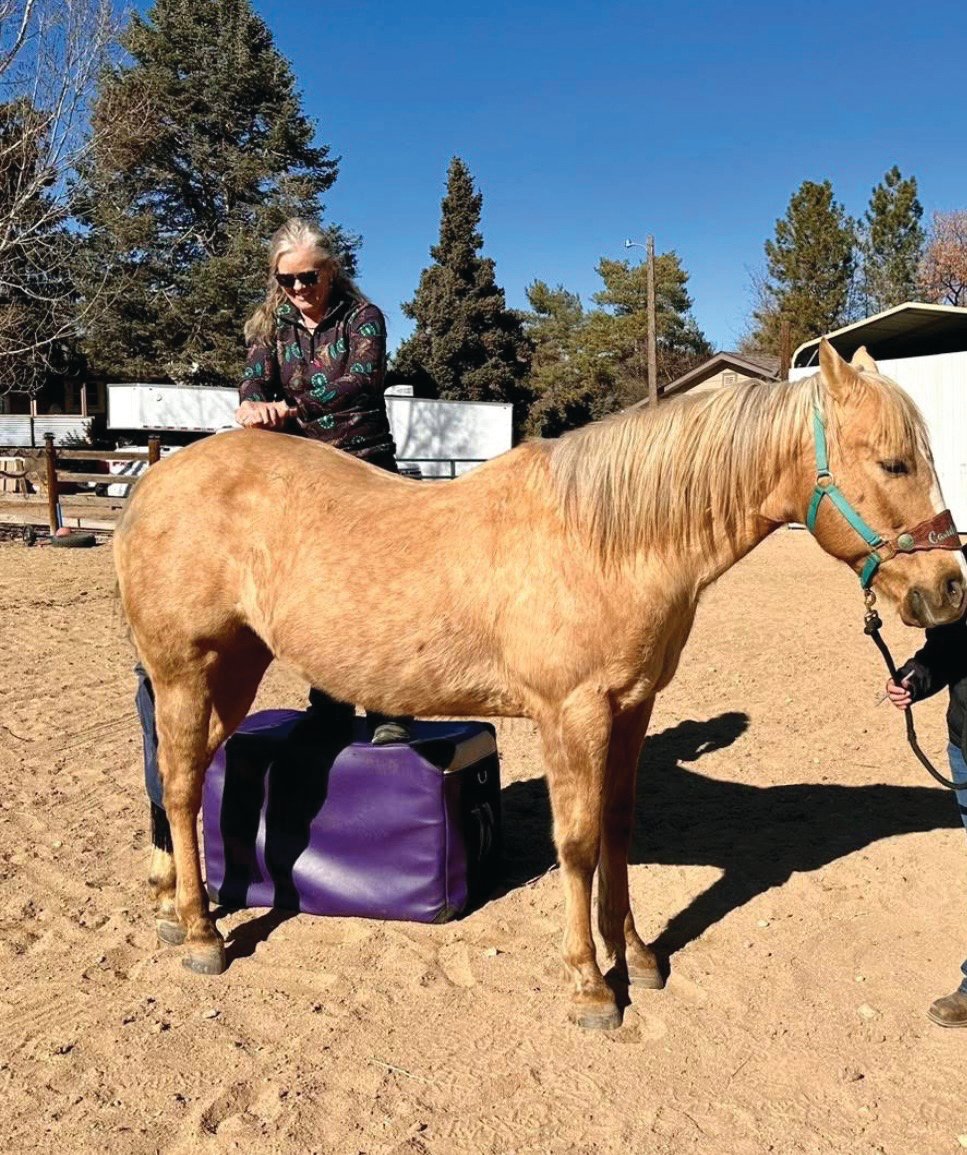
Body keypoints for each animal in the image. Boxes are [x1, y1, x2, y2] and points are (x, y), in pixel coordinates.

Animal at [114, 339, 967, 1030]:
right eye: (892, 462)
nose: (950, 589)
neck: (605, 539)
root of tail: (152, 482)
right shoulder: (572, 714)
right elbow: (579, 842)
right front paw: (589, 985)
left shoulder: (631, 707)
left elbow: (618, 828)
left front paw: (636, 956)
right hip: (188, 669)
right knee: (183, 785)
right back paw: (201, 932)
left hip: (233, 670)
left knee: (189, 775)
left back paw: (172, 902)